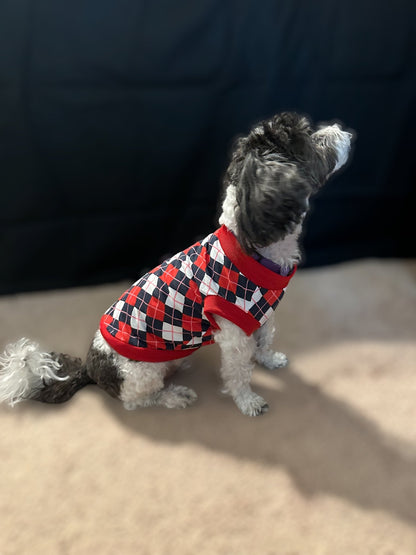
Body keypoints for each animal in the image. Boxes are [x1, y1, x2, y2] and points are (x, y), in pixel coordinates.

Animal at [0, 112, 354, 416]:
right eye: (310, 140)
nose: (343, 130)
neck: (251, 244)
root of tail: (91, 366)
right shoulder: (234, 335)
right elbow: (239, 372)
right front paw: (248, 401)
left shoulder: (262, 314)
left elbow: (265, 340)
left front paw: (270, 359)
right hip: (141, 374)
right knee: (136, 401)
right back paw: (173, 395)